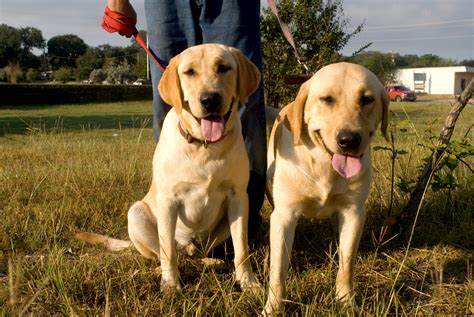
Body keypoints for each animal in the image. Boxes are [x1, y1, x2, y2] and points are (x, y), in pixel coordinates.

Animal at [79, 43, 262, 292]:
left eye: (224, 67)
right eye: (189, 72)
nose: (209, 99)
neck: (204, 146)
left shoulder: (238, 197)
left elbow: (241, 249)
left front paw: (248, 283)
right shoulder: (168, 200)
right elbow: (168, 251)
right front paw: (170, 285)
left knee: (196, 255)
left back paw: (212, 262)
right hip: (136, 212)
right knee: (167, 253)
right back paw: (162, 270)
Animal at [262, 62, 388, 314]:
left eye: (367, 99)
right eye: (327, 99)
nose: (348, 140)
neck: (324, 167)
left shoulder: (354, 213)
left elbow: (347, 263)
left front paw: (347, 302)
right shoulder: (284, 215)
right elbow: (277, 271)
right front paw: (272, 308)